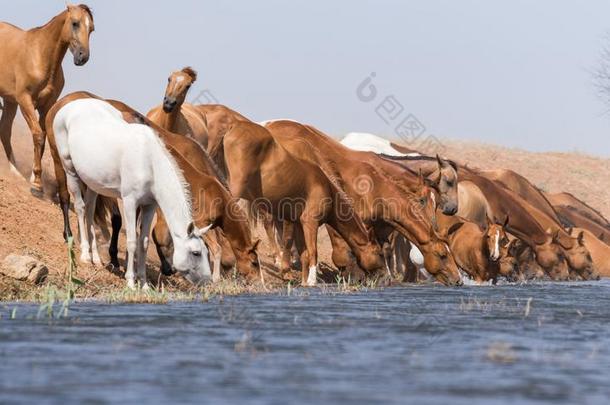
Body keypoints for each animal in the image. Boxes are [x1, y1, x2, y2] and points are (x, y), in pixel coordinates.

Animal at [0, 3, 94, 193]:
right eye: (75, 23)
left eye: (92, 29)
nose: (83, 56)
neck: (40, 56)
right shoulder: (25, 101)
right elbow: (38, 135)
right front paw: (37, 183)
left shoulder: (46, 106)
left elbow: (42, 137)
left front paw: (33, 179)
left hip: (9, 101)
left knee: (5, 129)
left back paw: (15, 172)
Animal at [45, 94, 211, 288]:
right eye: (196, 253)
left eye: (206, 252)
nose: (207, 281)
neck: (149, 161)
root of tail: (68, 106)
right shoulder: (130, 202)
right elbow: (132, 241)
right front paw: (131, 281)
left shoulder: (149, 205)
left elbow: (143, 242)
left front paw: (144, 284)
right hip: (69, 169)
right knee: (79, 207)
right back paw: (85, 255)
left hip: (93, 182)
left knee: (89, 211)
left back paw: (96, 258)